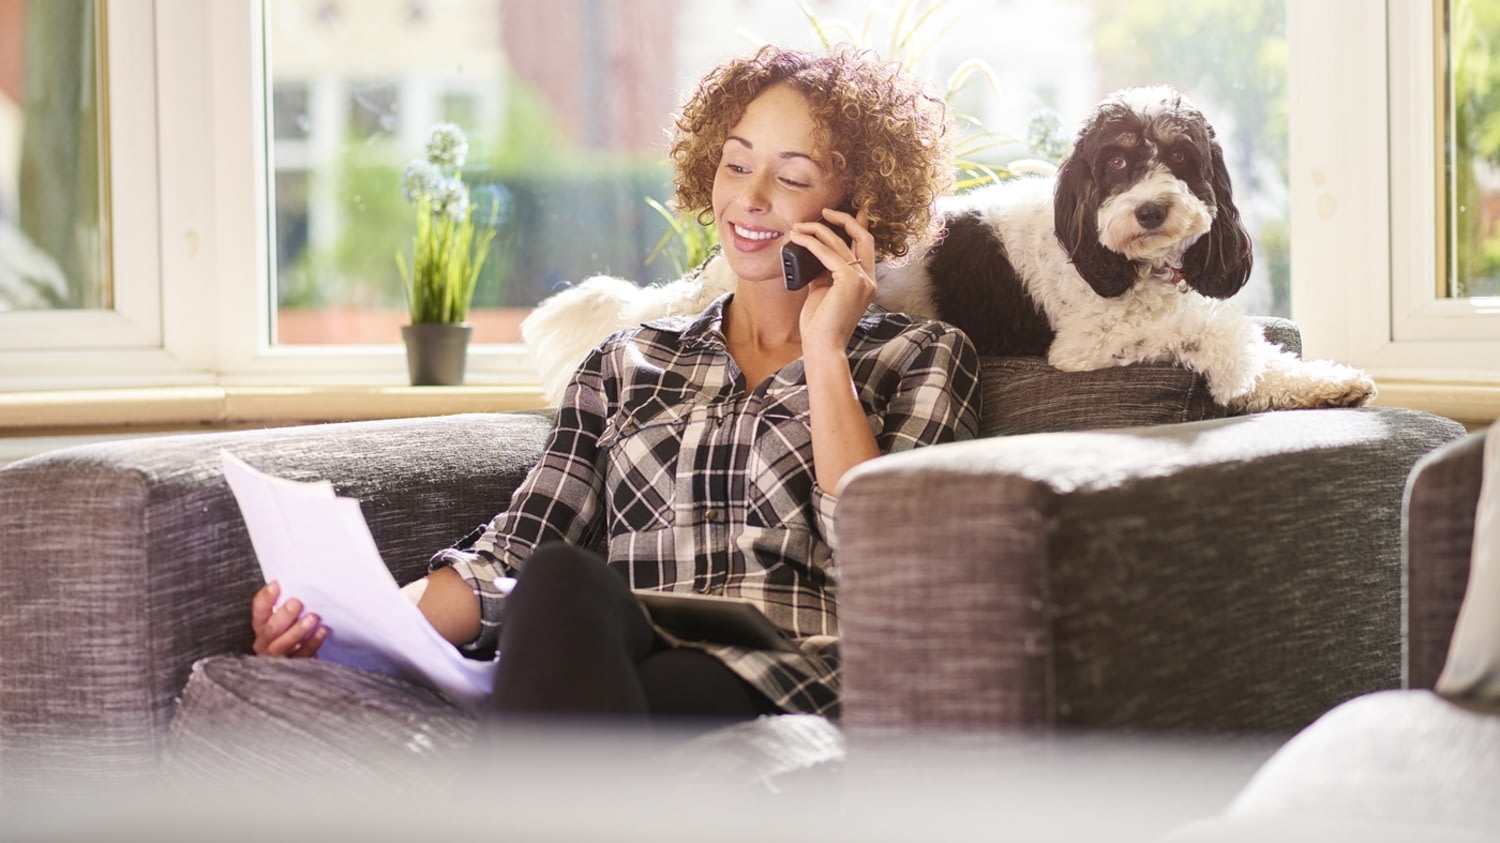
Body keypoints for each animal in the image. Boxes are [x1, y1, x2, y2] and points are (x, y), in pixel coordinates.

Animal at [876, 84, 1374, 411]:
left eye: (1180, 157)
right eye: (1116, 161)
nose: (1151, 210)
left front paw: (1324, 382)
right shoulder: (1085, 344)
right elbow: (1212, 327)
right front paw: (1238, 370)